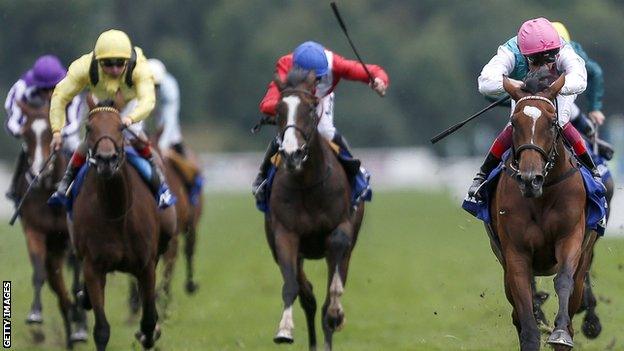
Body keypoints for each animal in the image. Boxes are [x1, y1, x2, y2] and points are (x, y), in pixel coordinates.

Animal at [14, 101, 87, 350]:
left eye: (48, 133)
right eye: (26, 134)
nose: (39, 171)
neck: (48, 190)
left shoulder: (74, 238)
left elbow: (79, 281)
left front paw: (81, 324)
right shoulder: (34, 230)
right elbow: (38, 273)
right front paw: (35, 313)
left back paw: (79, 324)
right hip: (53, 254)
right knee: (61, 293)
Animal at [72, 99, 177, 351]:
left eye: (120, 127)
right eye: (88, 127)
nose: (106, 159)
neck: (116, 212)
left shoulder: (146, 266)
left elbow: (148, 321)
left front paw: (149, 333)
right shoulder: (93, 266)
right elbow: (101, 329)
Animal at [264, 69, 366, 351]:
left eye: (310, 109)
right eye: (278, 111)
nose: (292, 154)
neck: (307, 182)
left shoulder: (342, 229)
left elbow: (334, 288)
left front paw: (336, 312)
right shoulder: (285, 234)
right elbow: (293, 287)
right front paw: (284, 329)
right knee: (307, 296)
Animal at [490, 72, 596, 351]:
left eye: (551, 123)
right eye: (514, 123)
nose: (530, 179)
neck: (542, 196)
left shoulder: (571, 237)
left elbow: (564, 279)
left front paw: (559, 333)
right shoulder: (515, 253)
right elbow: (525, 307)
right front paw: (534, 332)